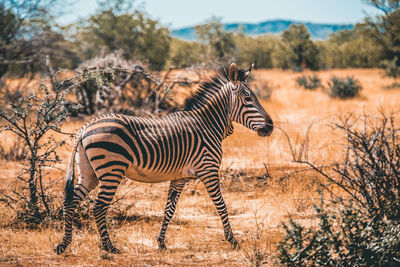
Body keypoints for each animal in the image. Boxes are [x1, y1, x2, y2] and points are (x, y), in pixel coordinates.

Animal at [54, 63, 274, 255]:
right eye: (248, 99)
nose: (270, 127)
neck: (208, 125)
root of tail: (85, 127)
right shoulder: (208, 170)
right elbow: (221, 204)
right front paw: (233, 240)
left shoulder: (179, 177)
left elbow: (169, 209)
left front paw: (160, 242)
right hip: (111, 170)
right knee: (98, 207)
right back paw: (109, 247)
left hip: (88, 172)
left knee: (71, 201)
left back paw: (64, 244)